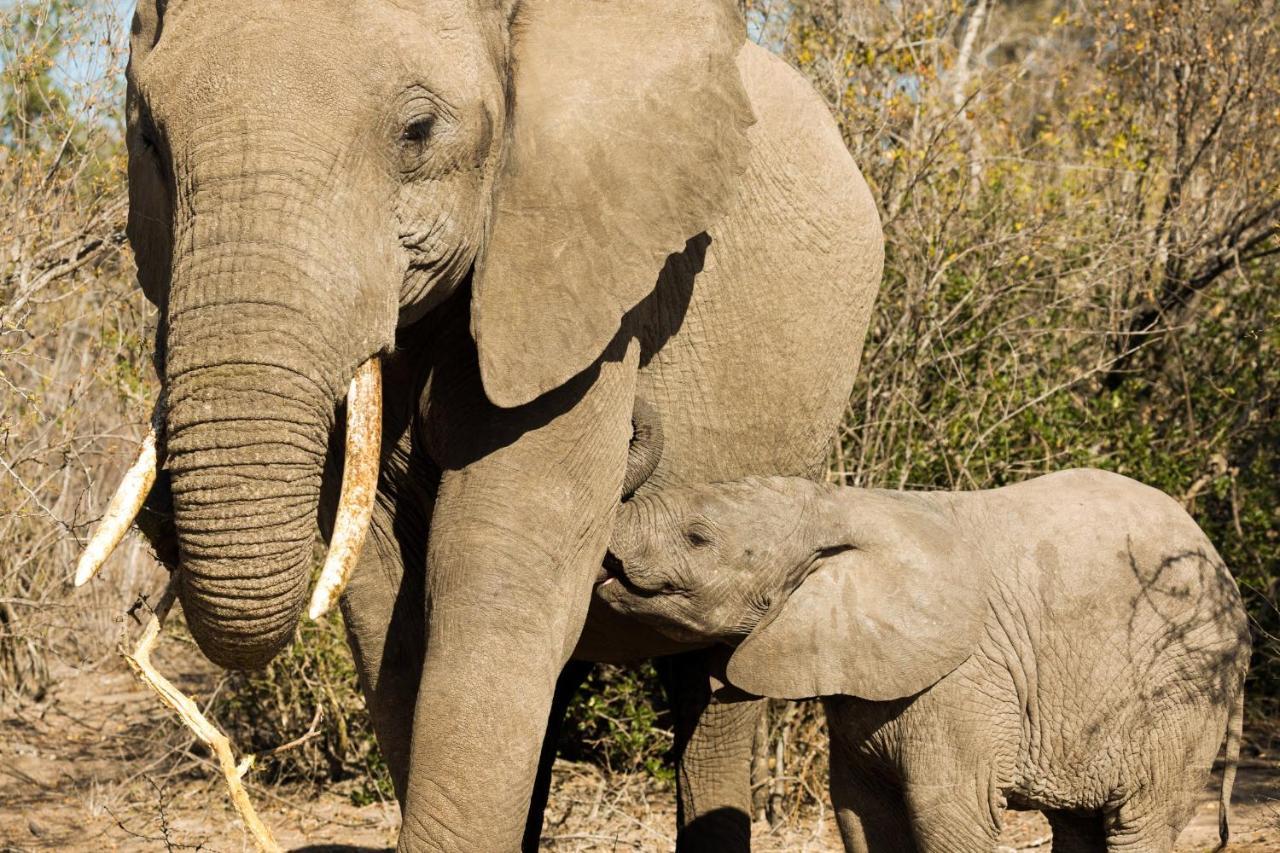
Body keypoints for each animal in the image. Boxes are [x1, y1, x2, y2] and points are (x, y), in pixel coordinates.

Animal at [80, 1, 880, 850]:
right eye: (151, 139)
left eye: (418, 130)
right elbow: (388, 600)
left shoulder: (582, 279)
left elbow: (497, 568)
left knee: (715, 690)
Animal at [601, 468, 1249, 850]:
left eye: (697, 538)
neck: (839, 504)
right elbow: (861, 813)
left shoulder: (964, 681)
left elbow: (951, 815)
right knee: (1079, 825)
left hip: (1183, 693)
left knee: (1137, 822)